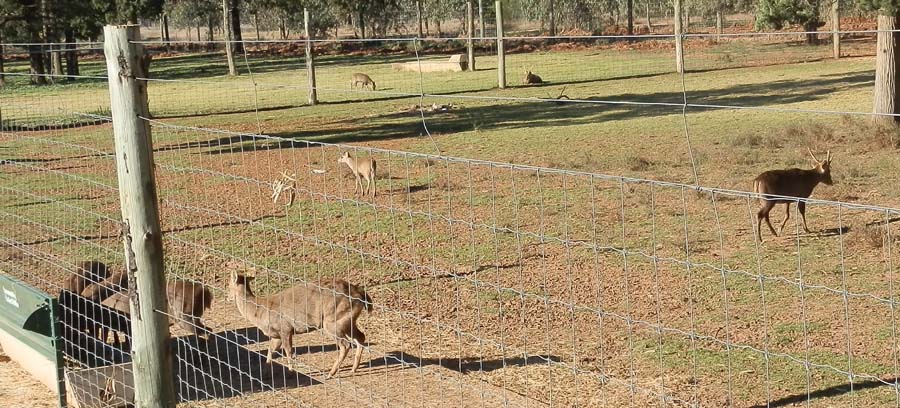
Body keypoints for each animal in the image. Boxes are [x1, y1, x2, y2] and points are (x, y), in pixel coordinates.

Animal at [227, 271, 373, 378]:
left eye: (228, 285)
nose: (227, 297)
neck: (260, 311)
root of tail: (361, 295)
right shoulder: (276, 334)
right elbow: (270, 351)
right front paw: (265, 373)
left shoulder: (285, 328)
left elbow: (288, 351)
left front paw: (291, 372)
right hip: (347, 320)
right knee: (361, 337)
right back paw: (353, 369)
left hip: (333, 321)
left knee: (346, 344)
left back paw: (331, 373)